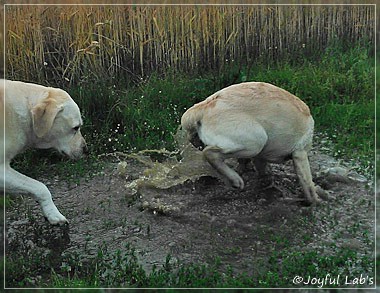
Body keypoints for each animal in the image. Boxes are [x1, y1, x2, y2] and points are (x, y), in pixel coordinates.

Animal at [181, 80, 320, 203]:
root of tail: (205, 105)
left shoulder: (260, 157)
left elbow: (262, 171)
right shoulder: (300, 153)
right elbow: (308, 186)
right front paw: (315, 199)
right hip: (256, 142)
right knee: (209, 153)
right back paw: (235, 180)